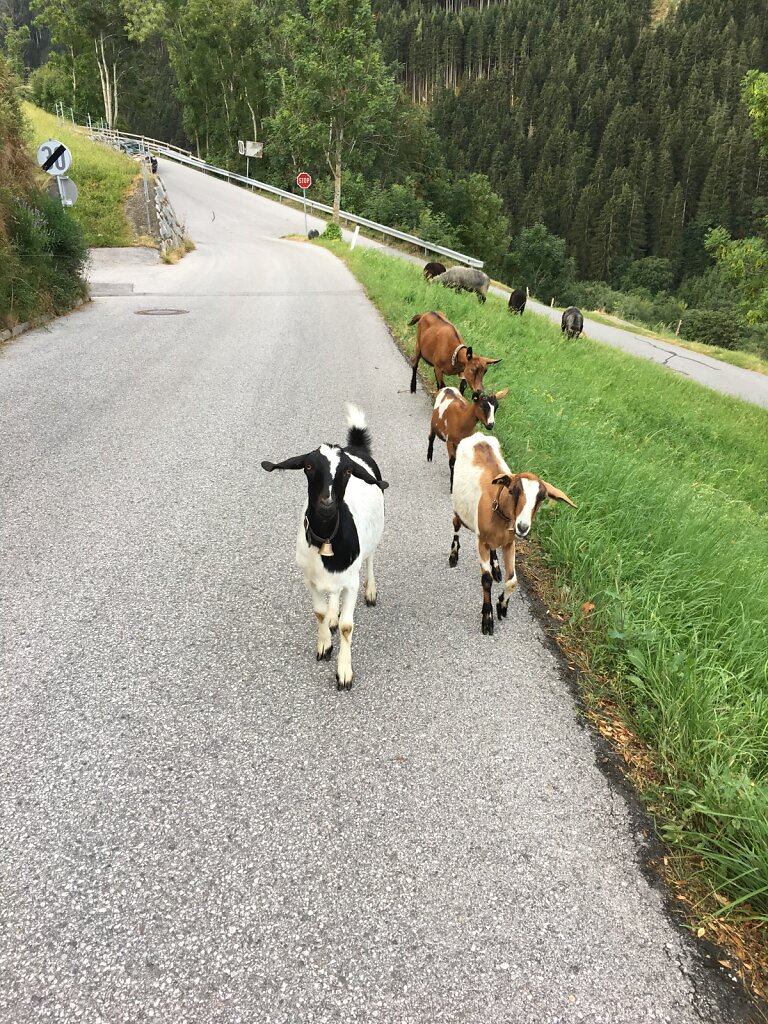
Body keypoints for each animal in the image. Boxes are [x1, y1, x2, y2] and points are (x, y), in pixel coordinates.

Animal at [264, 405, 391, 688]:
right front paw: (324, 644)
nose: (327, 504)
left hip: (374, 537)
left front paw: (344, 672)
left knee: (370, 559)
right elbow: (320, 613)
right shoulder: (310, 579)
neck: (326, 540)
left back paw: (371, 591)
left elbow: (347, 626)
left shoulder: (351, 581)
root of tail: (356, 447)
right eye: (308, 466)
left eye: (347, 472)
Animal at [450, 436, 577, 634]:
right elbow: (486, 580)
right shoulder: (482, 542)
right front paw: (487, 619)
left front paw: (502, 606)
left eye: (542, 498)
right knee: (456, 526)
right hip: (458, 507)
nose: (523, 527)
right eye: (512, 491)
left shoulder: (510, 543)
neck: (497, 506)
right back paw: (454, 555)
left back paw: (496, 568)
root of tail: (479, 437)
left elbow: (513, 581)